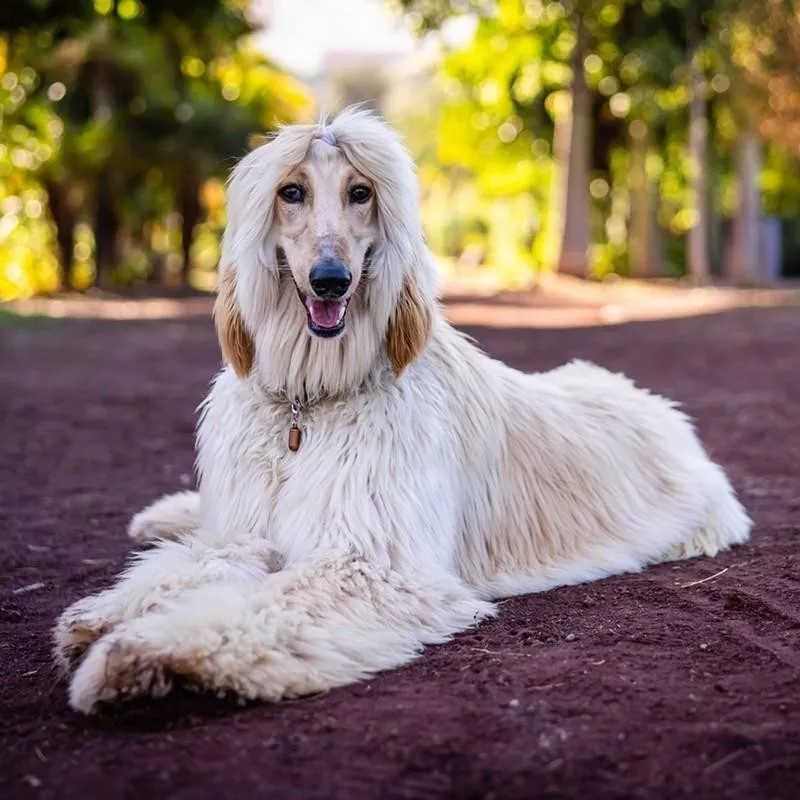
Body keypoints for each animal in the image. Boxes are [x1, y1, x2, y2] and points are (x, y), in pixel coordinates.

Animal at [53, 104, 752, 712]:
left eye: (361, 192)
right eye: (291, 191)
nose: (331, 280)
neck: (309, 405)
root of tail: (662, 409)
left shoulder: (371, 564)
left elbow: (258, 606)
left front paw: (136, 652)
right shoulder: (248, 529)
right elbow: (196, 562)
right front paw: (104, 614)